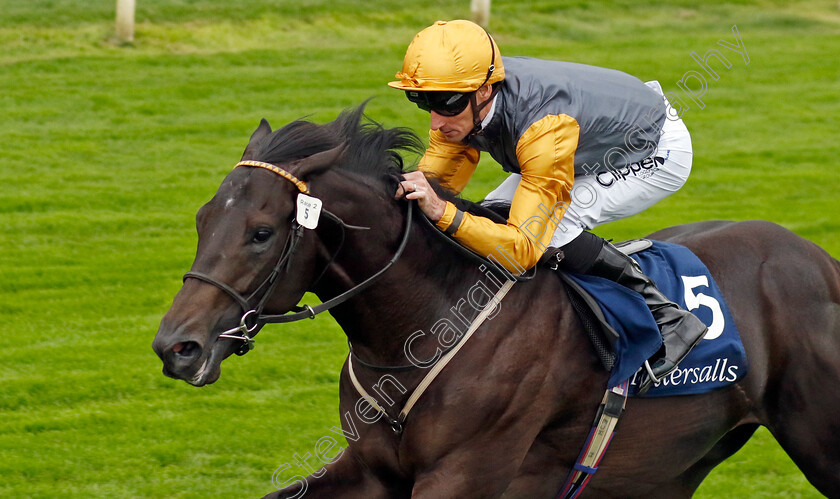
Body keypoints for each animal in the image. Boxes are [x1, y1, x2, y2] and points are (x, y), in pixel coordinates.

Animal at [154, 104, 840, 496]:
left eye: (261, 232)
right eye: (202, 219)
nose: (175, 347)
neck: (424, 326)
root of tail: (820, 259)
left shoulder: (465, 472)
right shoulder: (370, 469)